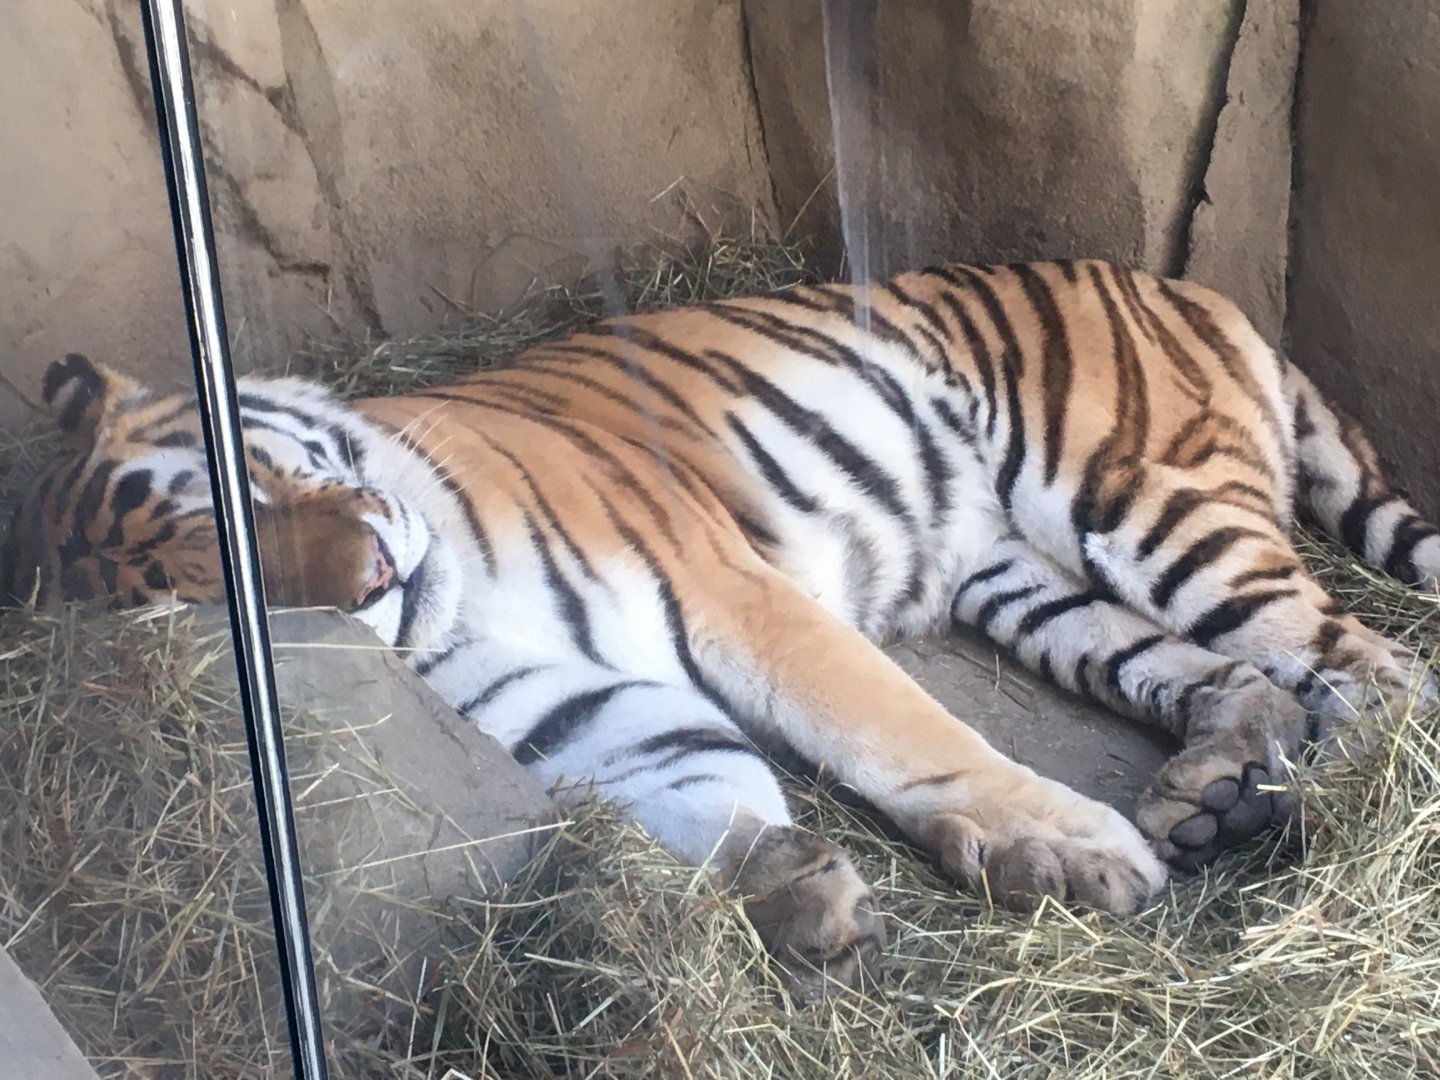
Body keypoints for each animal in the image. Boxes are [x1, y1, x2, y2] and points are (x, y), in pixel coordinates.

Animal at [3, 259, 1437, 1001]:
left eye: (244, 497)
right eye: (209, 592)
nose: (364, 578)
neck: (448, 599)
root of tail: (1185, 282)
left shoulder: (728, 588)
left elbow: (897, 731)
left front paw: (1075, 846)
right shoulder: (576, 706)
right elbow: (700, 779)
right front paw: (794, 887)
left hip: (1139, 499)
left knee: (1377, 670)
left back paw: (1332, 819)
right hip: (1027, 577)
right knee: (1239, 676)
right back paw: (1214, 793)